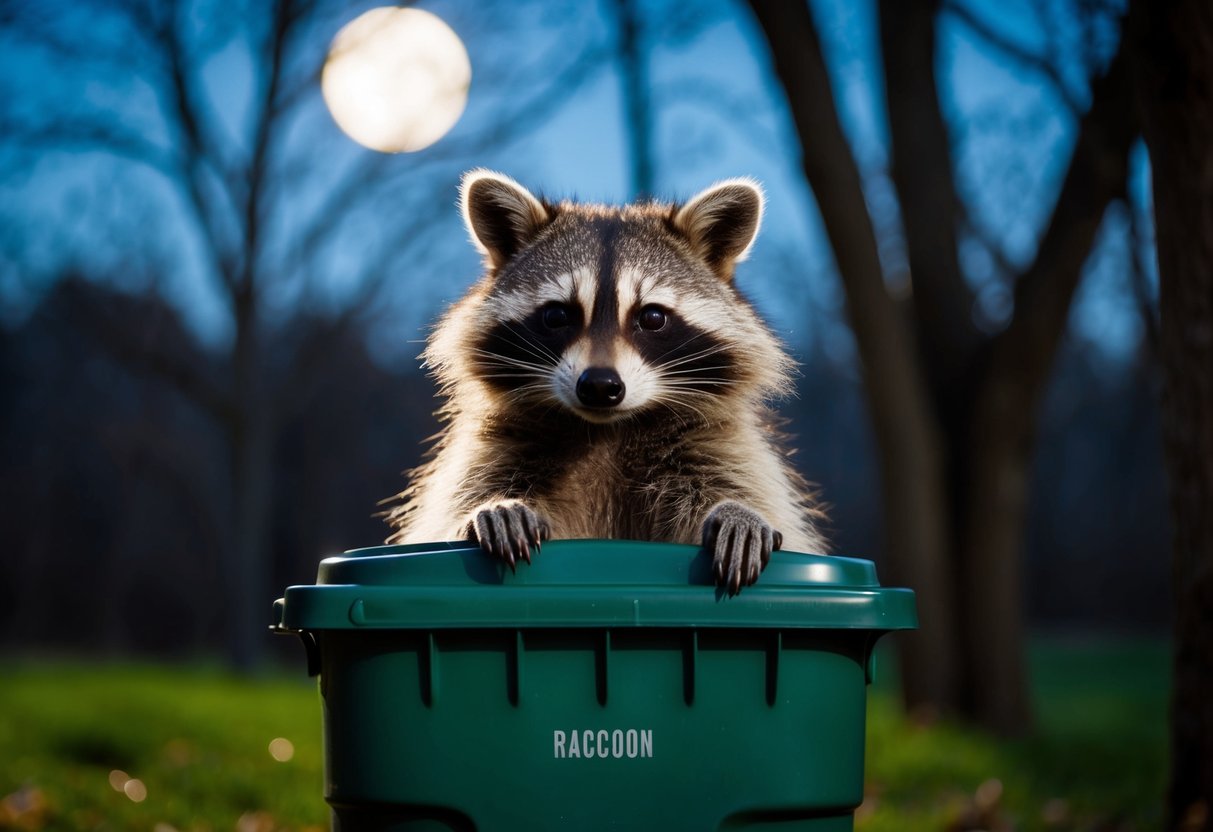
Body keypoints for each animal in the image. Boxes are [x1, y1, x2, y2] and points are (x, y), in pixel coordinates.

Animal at [386, 170, 826, 594]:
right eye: (556, 315)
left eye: (652, 317)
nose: (599, 385)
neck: (607, 431)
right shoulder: (495, 448)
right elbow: (450, 514)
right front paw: (493, 508)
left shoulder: (717, 443)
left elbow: (747, 491)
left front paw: (739, 511)